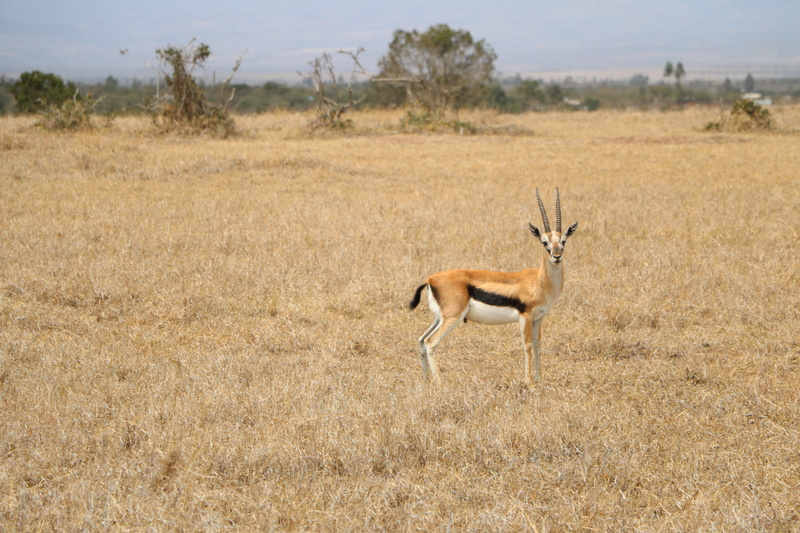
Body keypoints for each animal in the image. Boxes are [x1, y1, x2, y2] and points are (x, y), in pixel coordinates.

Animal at [409, 188, 578, 385]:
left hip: (439, 318)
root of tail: (430, 279)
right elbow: (527, 345)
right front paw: (529, 383)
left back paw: (425, 381)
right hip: (453, 318)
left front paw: (539, 380)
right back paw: (439, 383)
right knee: (430, 342)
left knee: (421, 340)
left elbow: (537, 344)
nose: (556, 256)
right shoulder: (526, 317)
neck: (539, 280)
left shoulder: (538, 318)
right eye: (544, 242)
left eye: (564, 241)